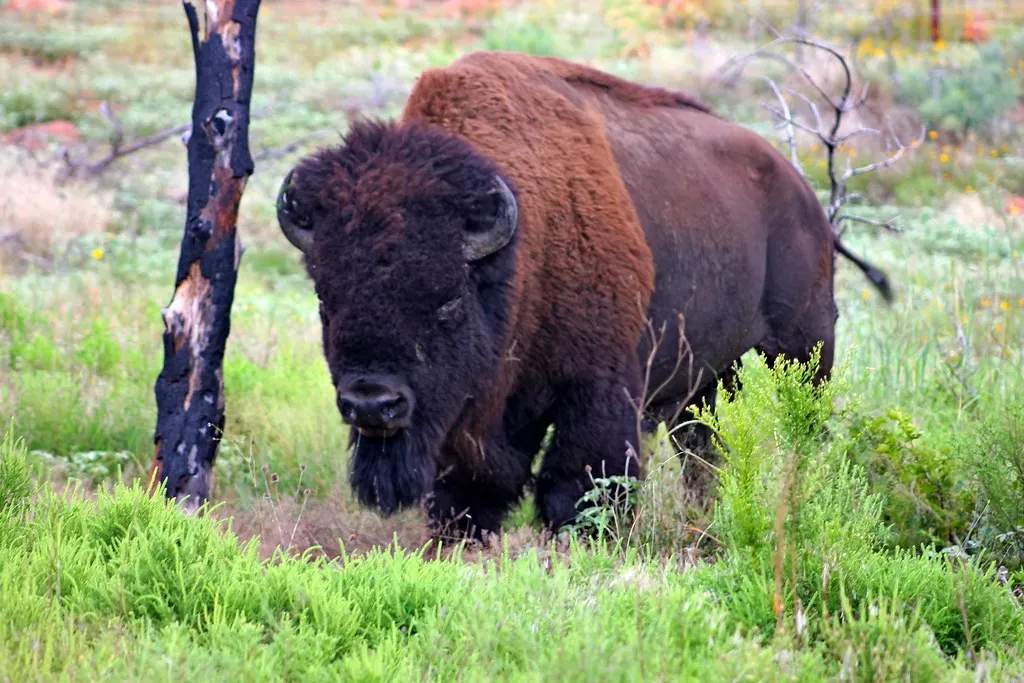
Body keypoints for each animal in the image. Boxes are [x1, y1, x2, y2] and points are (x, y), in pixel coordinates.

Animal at [275, 51, 889, 538]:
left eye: (447, 299)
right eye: (325, 300)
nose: (372, 403)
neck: (521, 250)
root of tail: (801, 192)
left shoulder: (597, 392)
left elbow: (577, 492)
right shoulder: (478, 424)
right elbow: (466, 500)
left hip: (805, 345)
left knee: (801, 429)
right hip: (704, 378)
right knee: (702, 449)